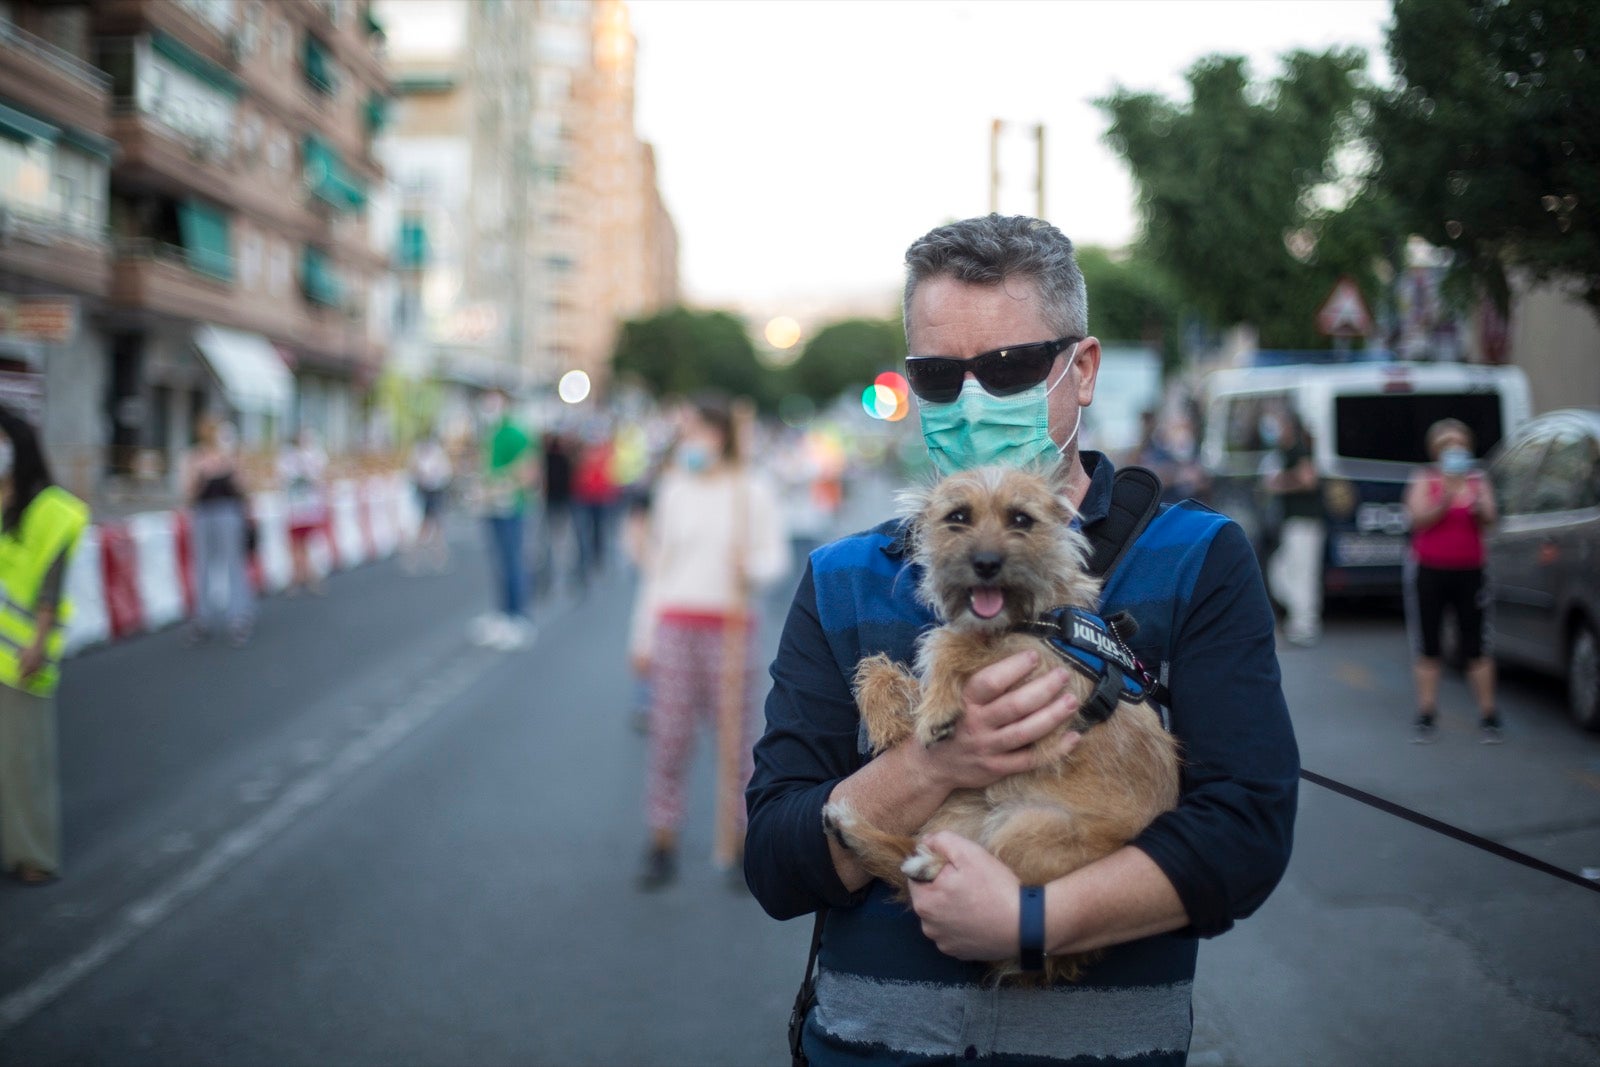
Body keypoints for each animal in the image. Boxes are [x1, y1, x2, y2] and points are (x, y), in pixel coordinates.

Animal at [825, 467, 1177, 985]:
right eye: (957, 518)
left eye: (1021, 520)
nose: (986, 563)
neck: (1036, 618)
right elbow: (889, 667)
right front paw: (889, 714)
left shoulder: (1044, 676)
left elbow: (947, 642)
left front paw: (936, 708)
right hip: (964, 809)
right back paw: (854, 830)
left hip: (1029, 830)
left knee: (998, 892)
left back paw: (925, 863)